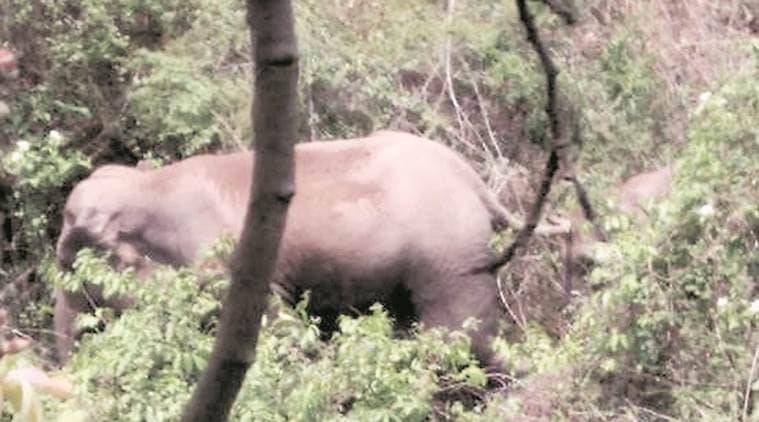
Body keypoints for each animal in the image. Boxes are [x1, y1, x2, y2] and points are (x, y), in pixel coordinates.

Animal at [54, 131, 569, 367]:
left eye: (69, 264)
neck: (149, 187)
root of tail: (471, 178)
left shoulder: (225, 264)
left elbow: (271, 325)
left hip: (449, 256)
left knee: (457, 338)